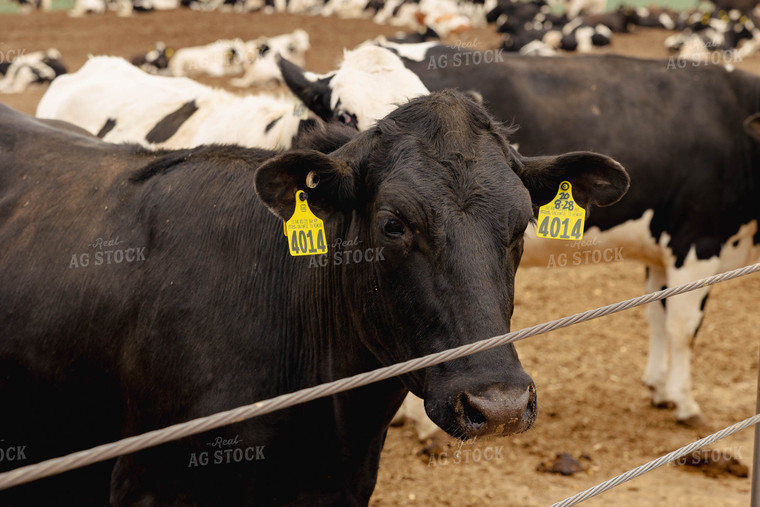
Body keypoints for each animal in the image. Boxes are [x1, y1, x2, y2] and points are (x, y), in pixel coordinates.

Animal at [284, 43, 760, 426]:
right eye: (344, 114)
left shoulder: (662, 252)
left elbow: (657, 315)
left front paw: (658, 387)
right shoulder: (697, 241)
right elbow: (683, 327)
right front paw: (684, 402)